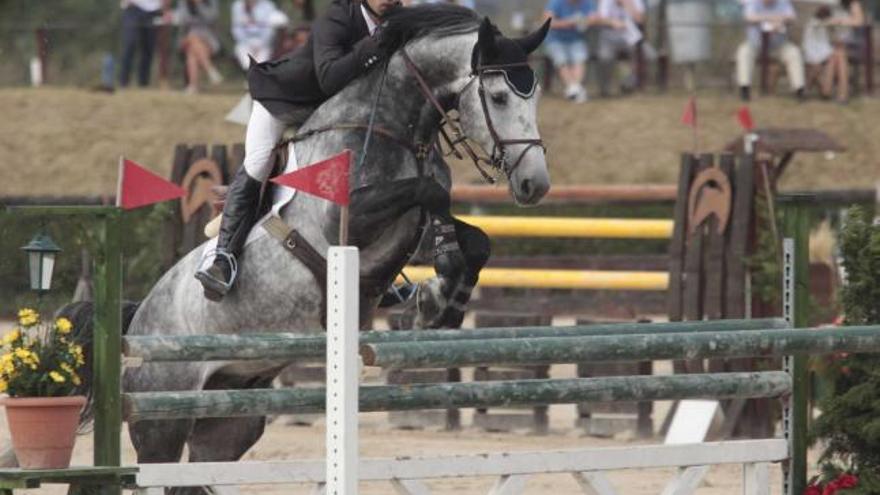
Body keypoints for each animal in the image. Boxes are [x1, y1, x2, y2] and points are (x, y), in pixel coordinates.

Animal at [77, 4, 552, 492]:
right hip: (163, 415)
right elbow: (430, 194)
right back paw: (217, 271)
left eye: (533, 98)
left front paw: (443, 303)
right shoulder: (349, 220)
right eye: (498, 97)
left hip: (231, 415)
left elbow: (473, 237)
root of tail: (138, 318)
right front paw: (433, 298)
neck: (393, 128)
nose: (534, 184)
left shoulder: (406, 225)